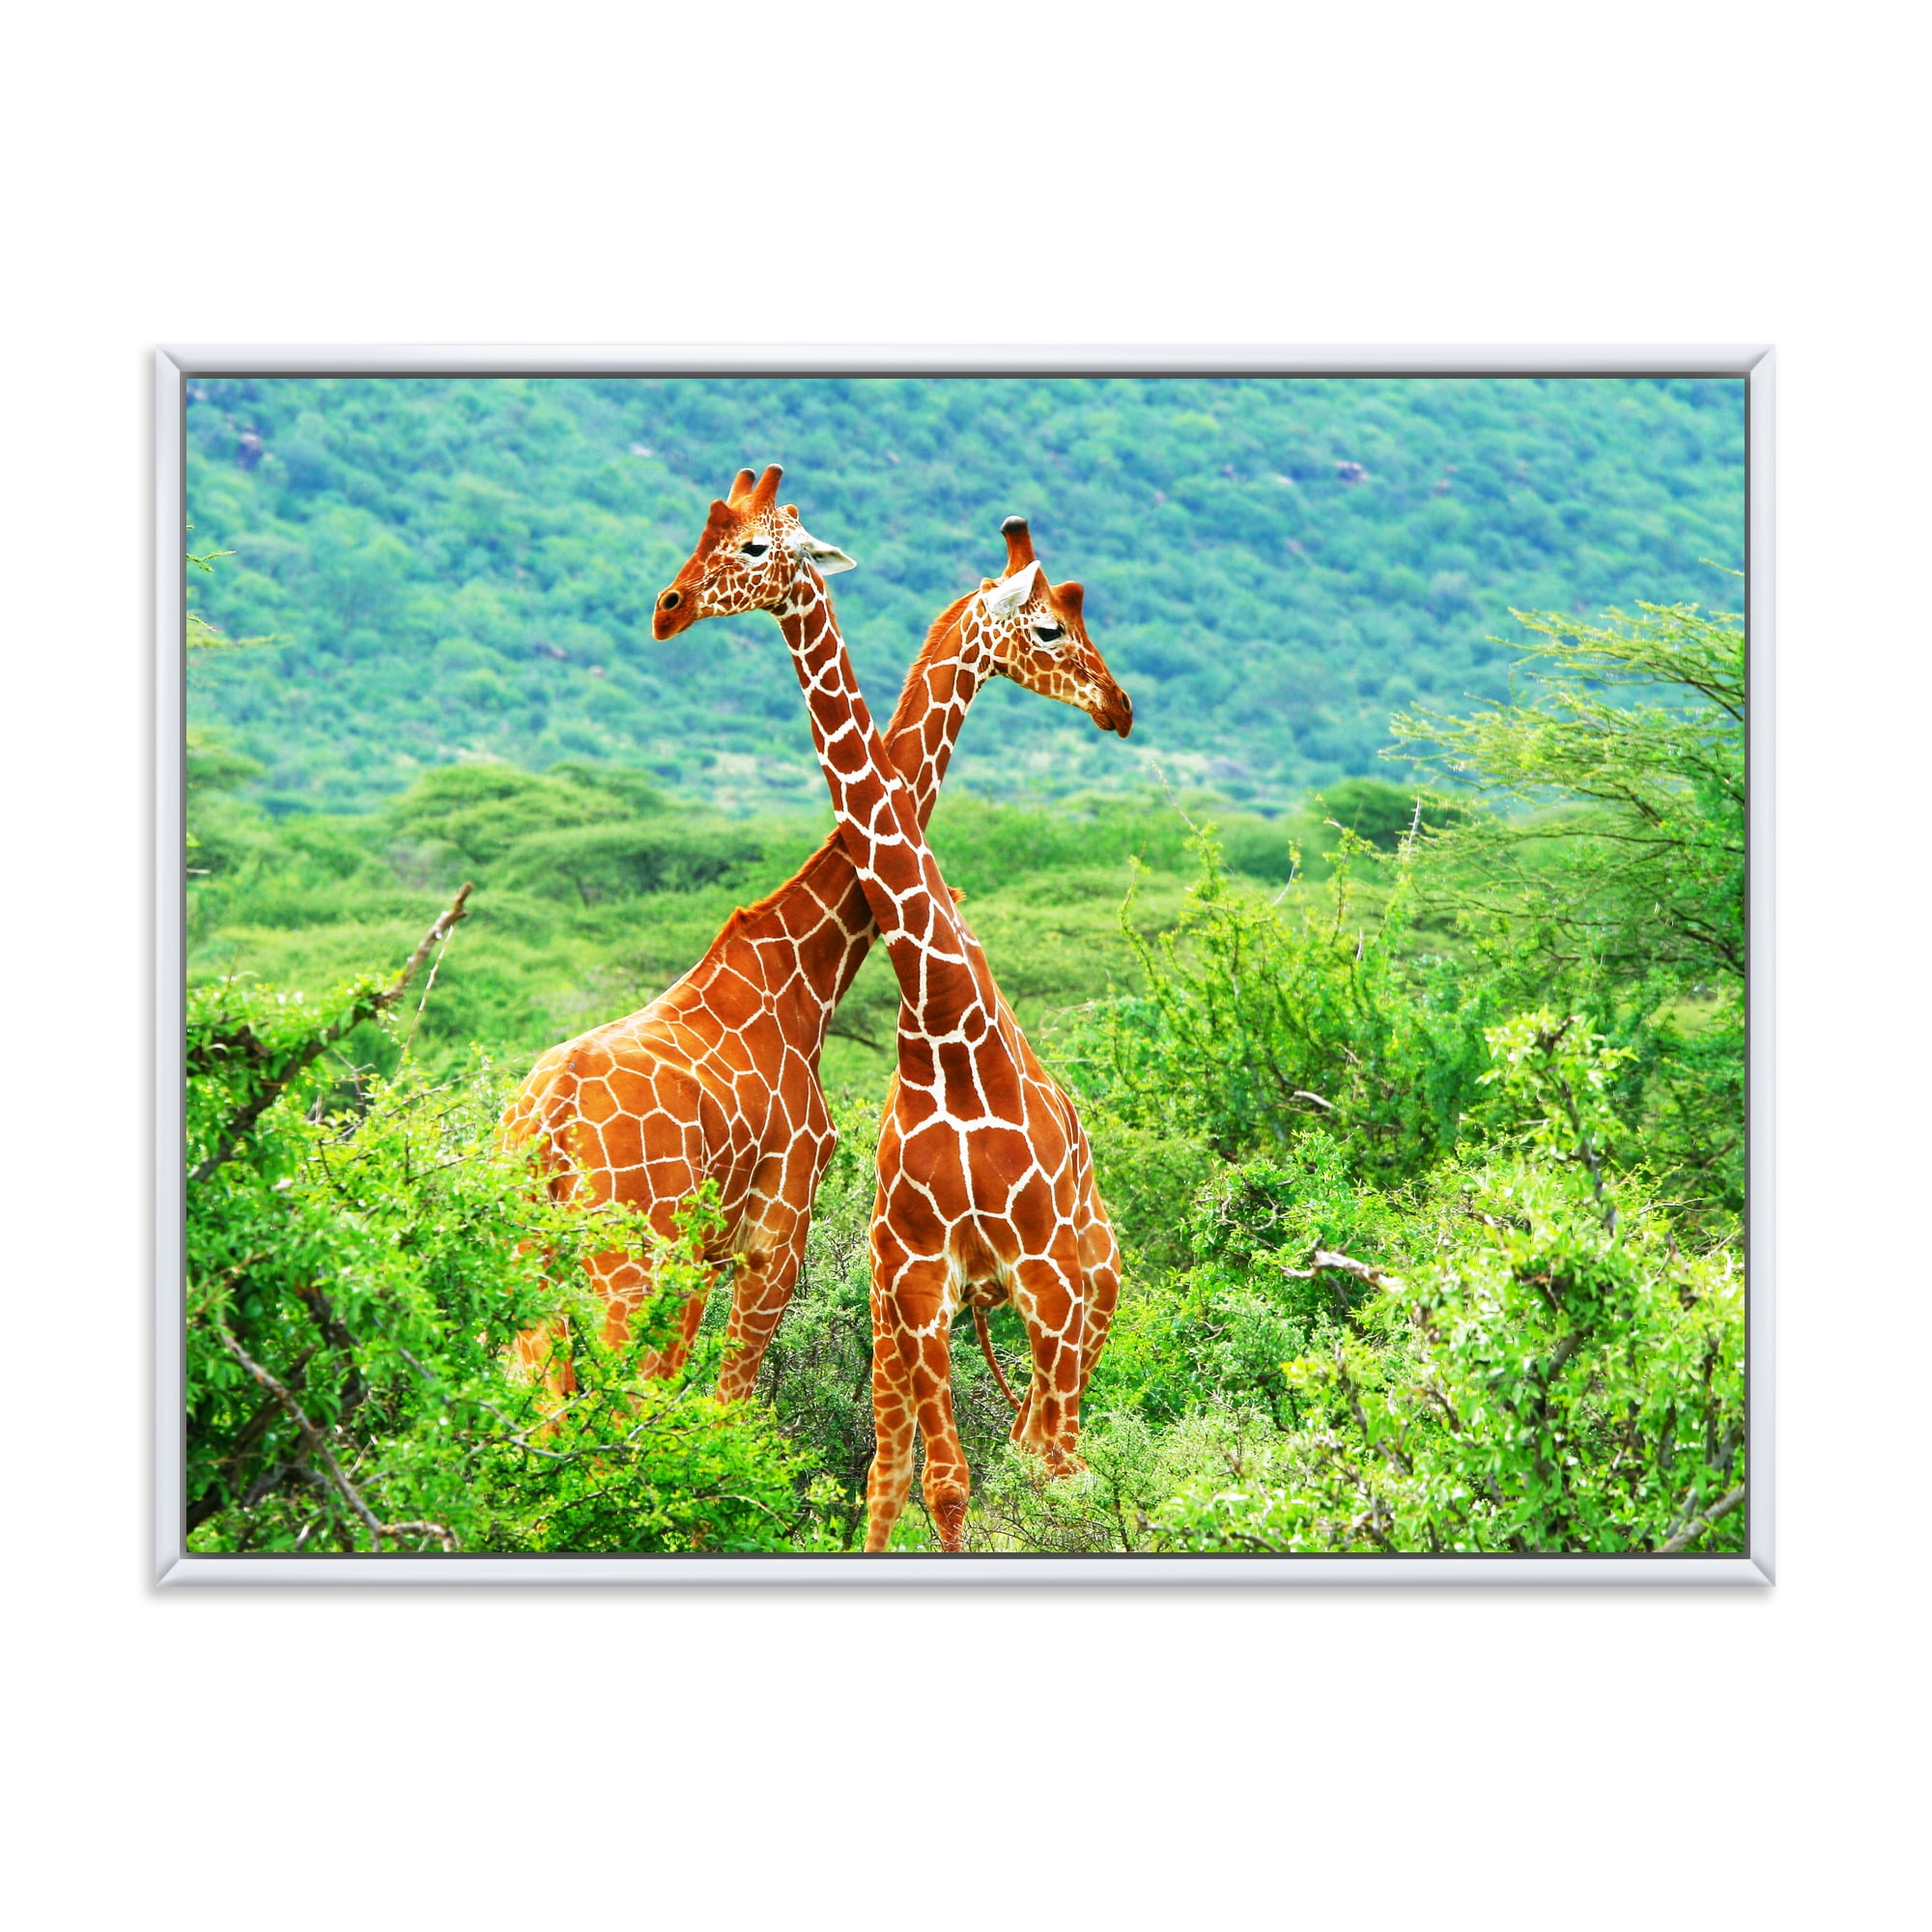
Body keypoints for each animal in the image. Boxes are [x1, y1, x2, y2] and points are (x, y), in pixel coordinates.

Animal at [503, 470, 1131, 1411]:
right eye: (1052, 625)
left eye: (745, 541)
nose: (1117, 705)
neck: (806, 970)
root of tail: (546, 1122)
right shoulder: (776, 1231)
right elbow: (724, 1409)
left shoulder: (715, 1250)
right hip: (626, 1258)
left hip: (531, 1256)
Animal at [653, 465, 1129, 1552]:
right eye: (1051, 626)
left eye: (753, 545)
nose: (1119, 707)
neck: (945, 1027)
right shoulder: (913, 1274)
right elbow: (936, 1479)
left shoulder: (1041, 1273)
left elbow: (1025, 1472)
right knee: (928, 1459)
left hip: (1090, 1288)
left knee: (1060, 1455)